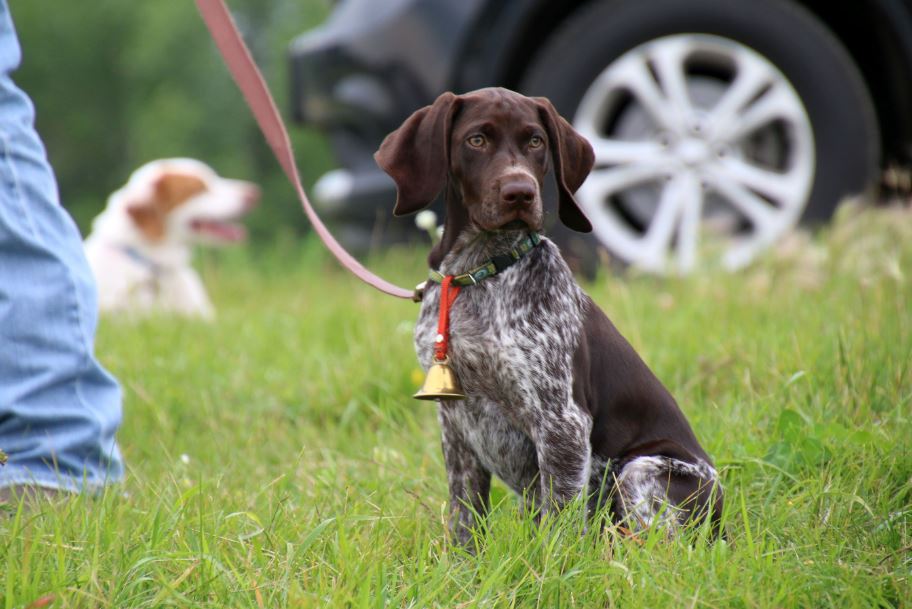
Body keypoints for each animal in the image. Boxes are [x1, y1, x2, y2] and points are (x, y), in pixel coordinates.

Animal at [374, 86, 724, 548]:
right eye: (476, 140)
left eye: (536, 141)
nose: (520, 192)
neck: (482, 270)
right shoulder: (455, 424)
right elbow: (465, 517)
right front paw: (463, 565)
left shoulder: (562, 423)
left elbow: (559, 525)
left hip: (642, 470)